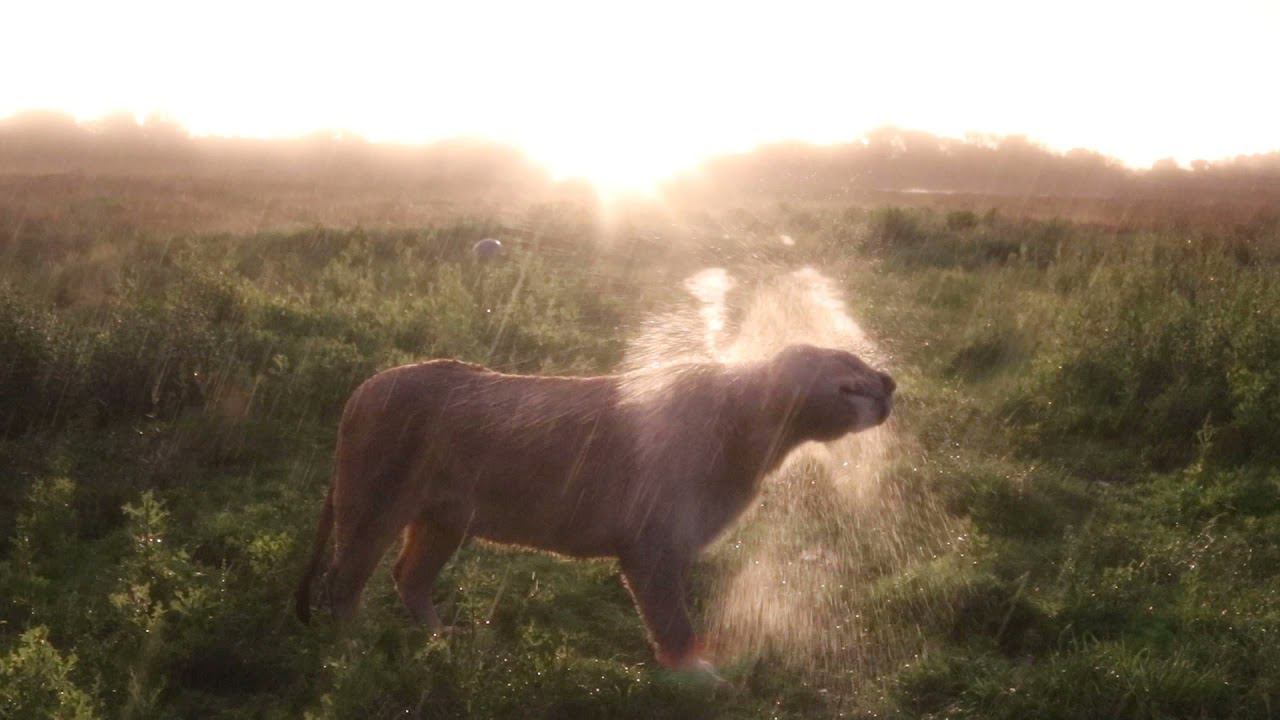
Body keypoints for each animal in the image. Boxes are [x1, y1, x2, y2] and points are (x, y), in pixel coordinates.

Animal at [295, 343, 895, 673]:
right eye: (847, 362)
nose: (890, 380)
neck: (755, 432)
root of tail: (361, 390)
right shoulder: (651, 546)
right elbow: (673, 623)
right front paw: (699, 678)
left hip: (443, 519)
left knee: (408, 576)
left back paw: (441, 641)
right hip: (374, 508)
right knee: (341, 586)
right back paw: (354, 653)